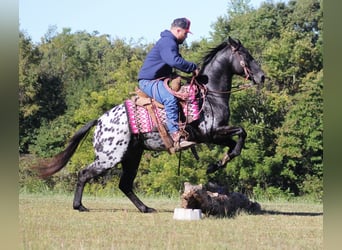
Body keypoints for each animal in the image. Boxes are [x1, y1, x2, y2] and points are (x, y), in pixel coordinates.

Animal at [34, 36, 264, 213]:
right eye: (247, 56)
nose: (262, 76)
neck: (209, 97)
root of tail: (99, 120)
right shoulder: (209, 133)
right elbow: (242, 132)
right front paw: (215, 164)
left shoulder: (214, 135)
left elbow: (234, 144)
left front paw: (216, 164)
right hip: (109, 157)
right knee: (84, 174)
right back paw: (79, 206)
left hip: (131, 156)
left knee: (125, 184)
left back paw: (145, 208)